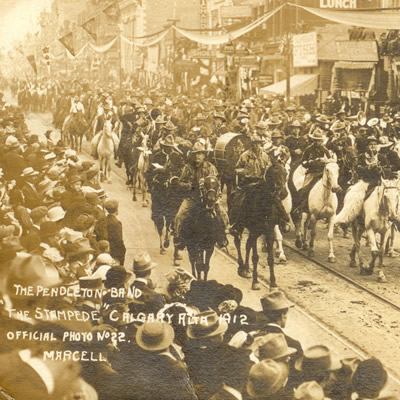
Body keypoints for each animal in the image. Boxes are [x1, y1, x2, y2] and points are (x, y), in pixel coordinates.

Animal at [228, 162, 288, 290]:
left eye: (286, 173)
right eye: (274, 173)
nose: (283, 193)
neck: (264, 206)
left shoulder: (269, 232)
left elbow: (270, 259)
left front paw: (273, 283)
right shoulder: (254, 232)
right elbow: (255, 257)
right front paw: (255, 282)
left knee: (247, 245)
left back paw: (246, 269)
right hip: (238, 226)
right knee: (237, 242)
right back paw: (241, 266)